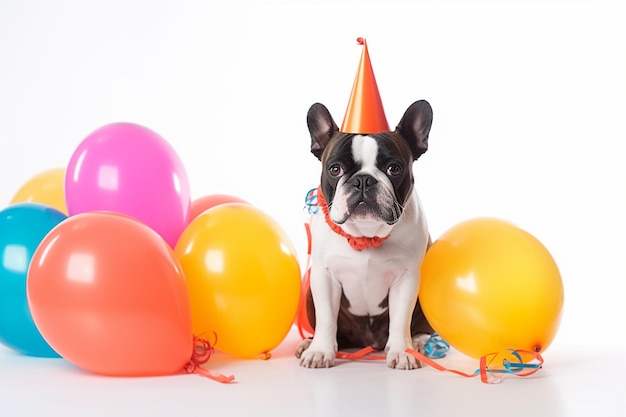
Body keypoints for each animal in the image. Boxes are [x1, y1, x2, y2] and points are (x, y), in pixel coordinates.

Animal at [294, 99, 432, 368]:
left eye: (394, 169)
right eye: (335, 169)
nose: (364, 180)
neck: (366, 235)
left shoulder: (406, 278)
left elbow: (401, 319)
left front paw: (402, 352)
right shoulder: (324, 277)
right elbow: (327, 319)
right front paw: (320, 351)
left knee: (420, 327)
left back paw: (418, 343)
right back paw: (308, 343)